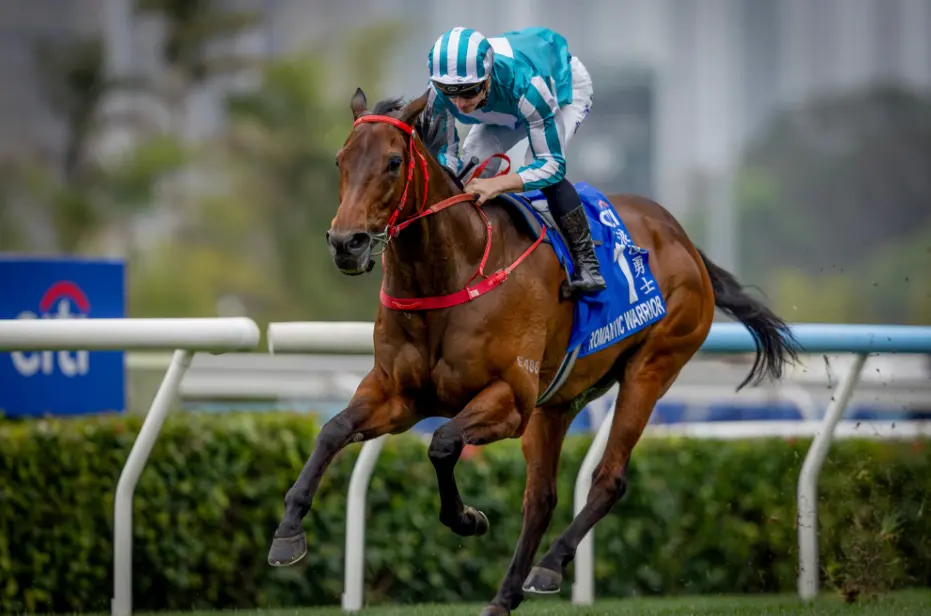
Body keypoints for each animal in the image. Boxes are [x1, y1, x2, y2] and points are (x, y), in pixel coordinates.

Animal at [266, 87, 799, 615]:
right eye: (341, 159)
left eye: (394, 162)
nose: (346, 243)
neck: (452, 274)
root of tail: (684, 241)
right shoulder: (398, 395)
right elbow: (333, 431)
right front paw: (287, 533)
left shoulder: (510, 400)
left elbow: (442, 443)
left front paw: (467, 518)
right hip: (561, 400)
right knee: (541, 498)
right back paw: (504, 597)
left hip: (651, 369)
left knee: (608, 478)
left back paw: (548, 566)